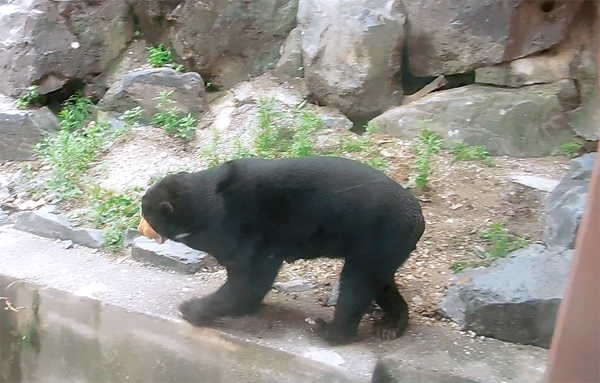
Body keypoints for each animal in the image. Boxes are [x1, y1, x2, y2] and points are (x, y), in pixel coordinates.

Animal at [138, 156, 424, 344]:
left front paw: (191, 308)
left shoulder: (245, 229)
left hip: (378, 235)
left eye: (146, 213)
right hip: (384, 248)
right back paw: (391, 325)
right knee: (380, 282)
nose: (141, 228)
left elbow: (248, 280)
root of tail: (418, 216)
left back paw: (326, 328)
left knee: (356, 285)